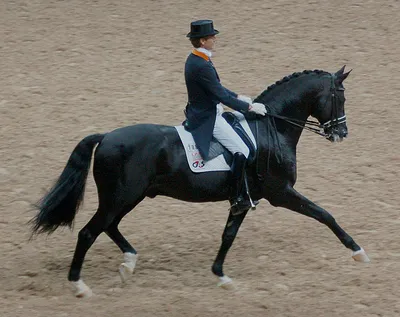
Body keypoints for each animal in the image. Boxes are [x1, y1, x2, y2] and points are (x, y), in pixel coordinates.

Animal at [30, 65, 368, 298]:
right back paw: (80, 286)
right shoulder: (280, 192)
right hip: (120, 197)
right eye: (340, 97)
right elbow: (324, 214)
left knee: (109, 226)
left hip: (129, 197)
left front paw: (221, 276)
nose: (341, 133)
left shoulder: (245, 199)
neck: (270, 129)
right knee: (89, 232)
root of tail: (106, 137)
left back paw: (128, 263)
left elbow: (228, 235)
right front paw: (358, 252)